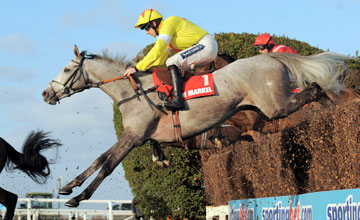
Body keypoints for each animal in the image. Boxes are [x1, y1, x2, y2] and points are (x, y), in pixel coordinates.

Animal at [41, 45, 346, 208]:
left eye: (67, 70)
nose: (46, 93)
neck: (134, 92)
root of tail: (271, 57)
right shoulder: (134, 135)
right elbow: (99, 158)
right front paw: (70, 186)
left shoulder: (135, 136)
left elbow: (107, 165)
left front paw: (78, 198)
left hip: (275, 106)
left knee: (315, 89)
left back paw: (331, 112)